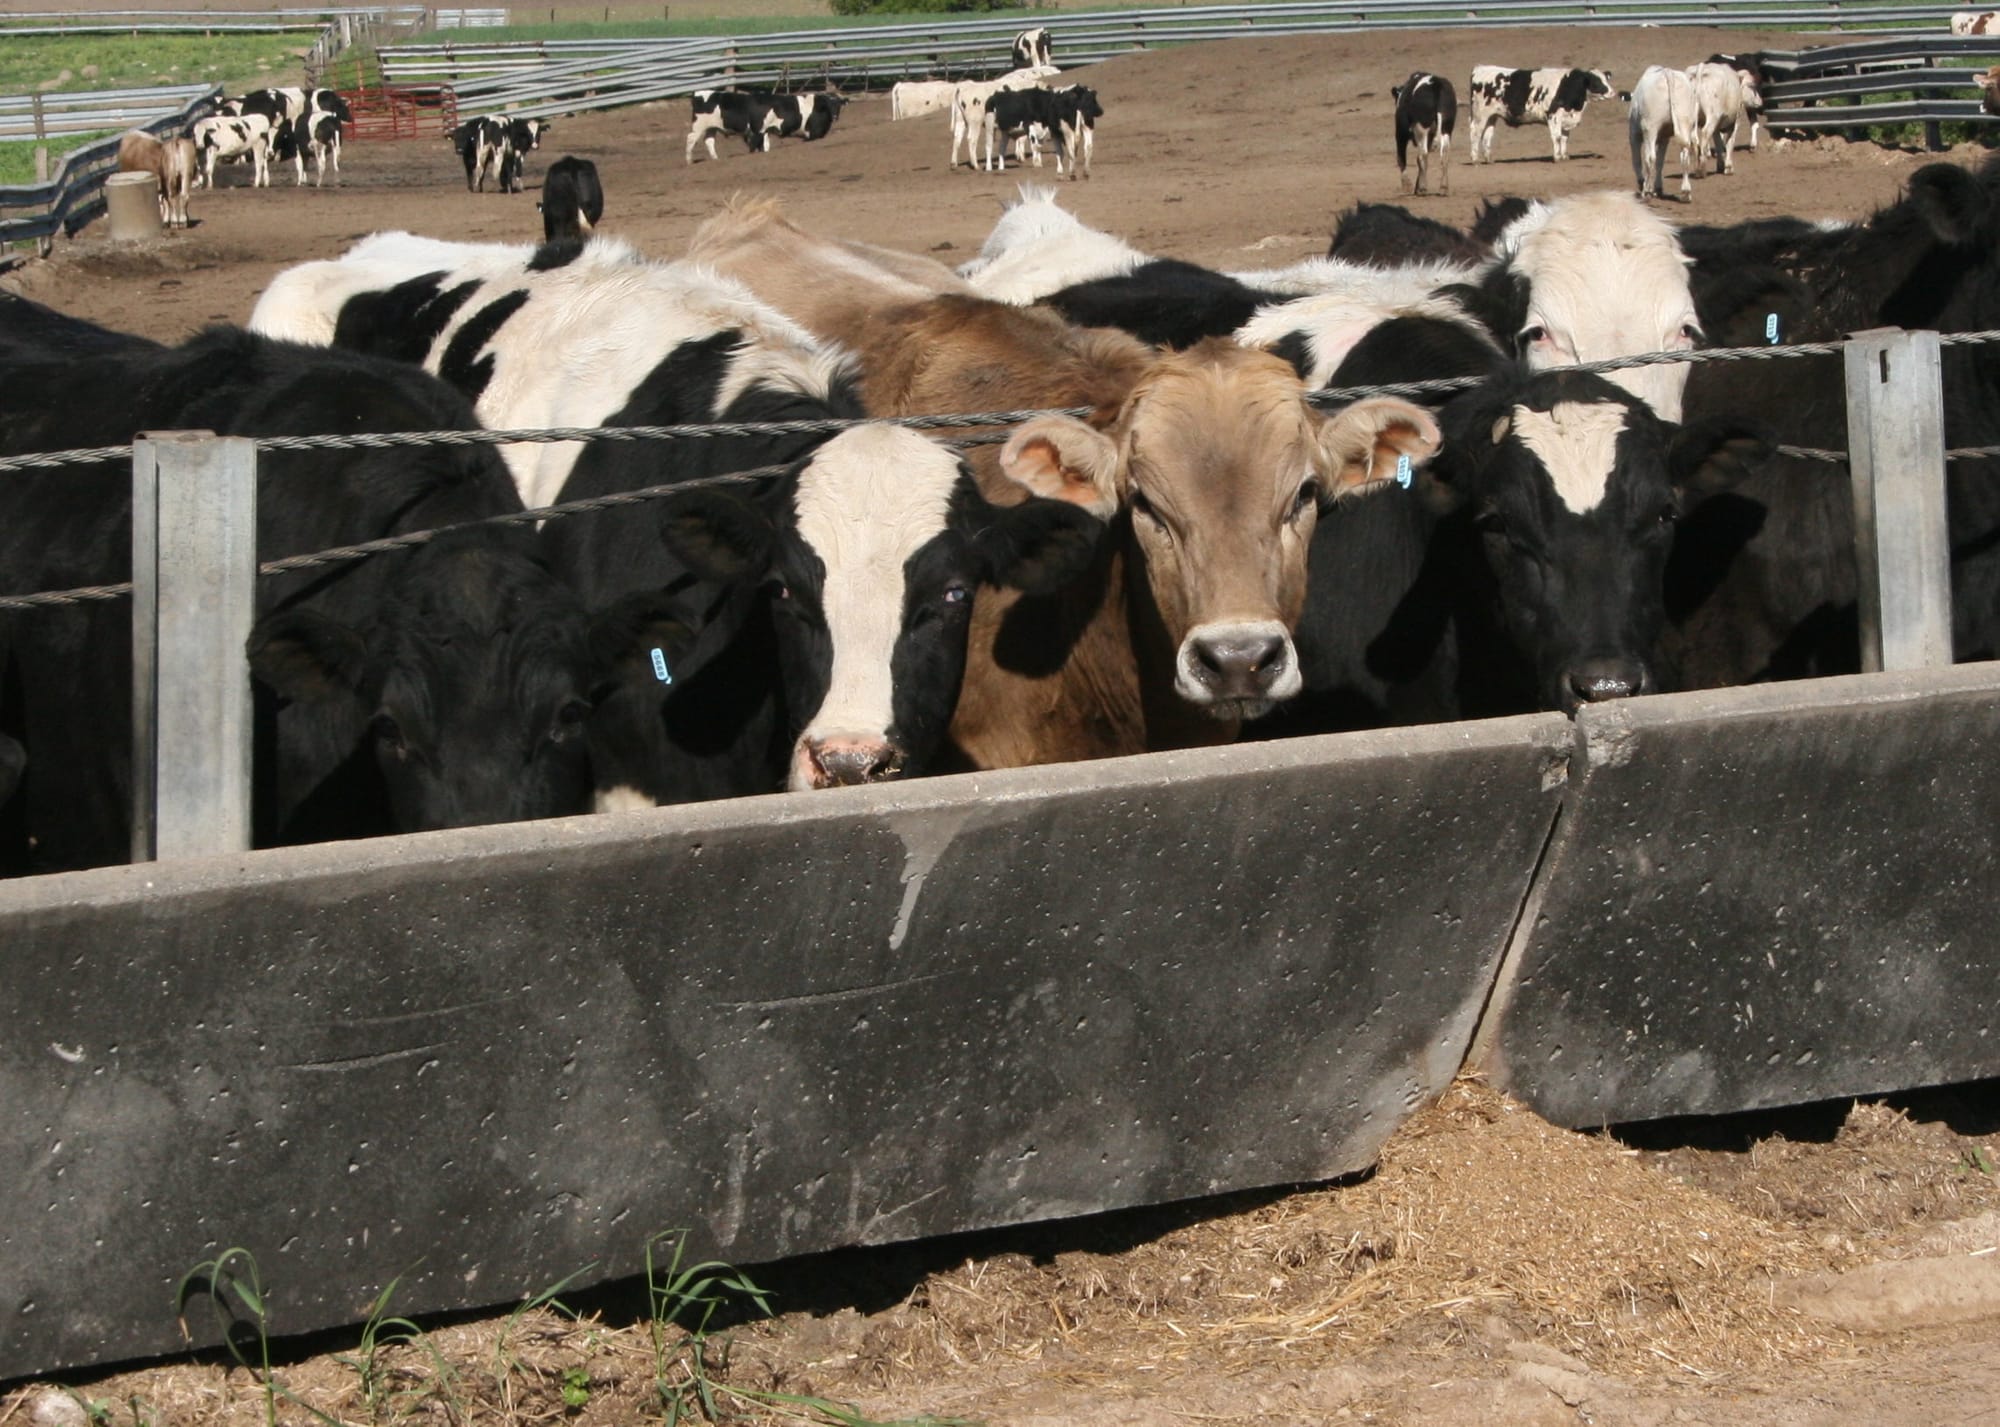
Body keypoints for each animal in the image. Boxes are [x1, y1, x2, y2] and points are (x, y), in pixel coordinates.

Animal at [1466, 65, 1615, 163]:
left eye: (1606, 79)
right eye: (1596, 81)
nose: (1612, 92)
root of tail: (1480, 68)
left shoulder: (1567, 119)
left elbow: (1565, 138)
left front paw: (1565, 156)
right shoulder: (1554, 115)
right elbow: (1557, 137)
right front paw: (1557, 157)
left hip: (1492, 116)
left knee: (1487, 135)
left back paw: (1489, 159)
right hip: (1480, 115)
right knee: (1475, 133)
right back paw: (1475, 159)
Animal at [1629, 64, 1700, 200]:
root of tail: (1668, 72)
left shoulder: (1634, 134)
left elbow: (1638, 160)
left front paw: (1643, 184)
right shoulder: (1664, 138)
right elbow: (1660, 162)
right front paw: (1658, 188)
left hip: (1650, 127)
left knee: (1650, 157)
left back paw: (1646, 191)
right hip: (1684, 122)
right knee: (1684, 156)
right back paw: (1686, 191)